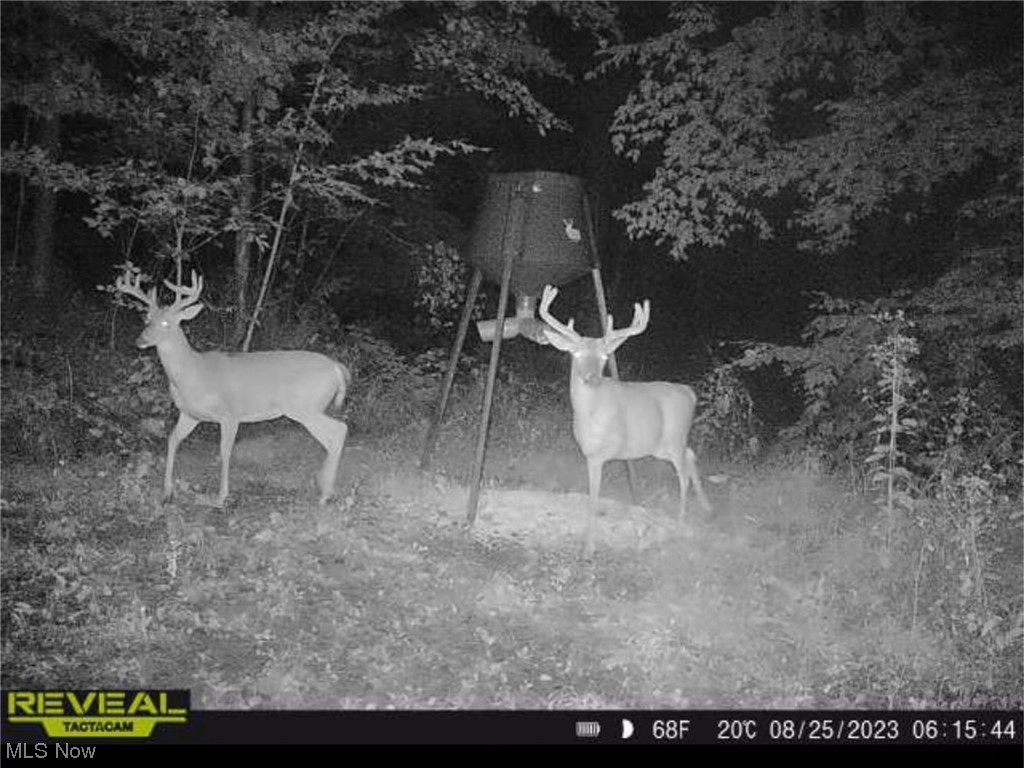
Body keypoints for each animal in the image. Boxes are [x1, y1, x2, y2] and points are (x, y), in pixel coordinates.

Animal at [115, 268, 351, 508]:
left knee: (339, 430)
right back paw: (322, 485)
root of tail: (336, 367)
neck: (194, 373)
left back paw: (325, 493)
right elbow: (172, 440)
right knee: (335, 434)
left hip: (305, 406)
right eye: (147, 319)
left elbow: (225, 450)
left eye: (166, 323)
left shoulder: (229, 414)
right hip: (308, 408)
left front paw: (221, 496)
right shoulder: (189, 414)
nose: (140, 340)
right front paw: (166, 492)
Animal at [538, 284, 710, 554]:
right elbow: (591, 495)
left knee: (683, 475)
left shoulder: (601, 454)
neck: (589, 416)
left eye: (603, 358)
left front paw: (589, 547)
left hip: (675, 436)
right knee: (691, 454)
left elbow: (594, 498)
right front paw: (588, 543)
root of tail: (689, 392)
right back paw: (705, 507)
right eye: (576, 354)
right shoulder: (589, 454)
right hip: (661, 445)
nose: (592, 378)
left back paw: (681, 525)